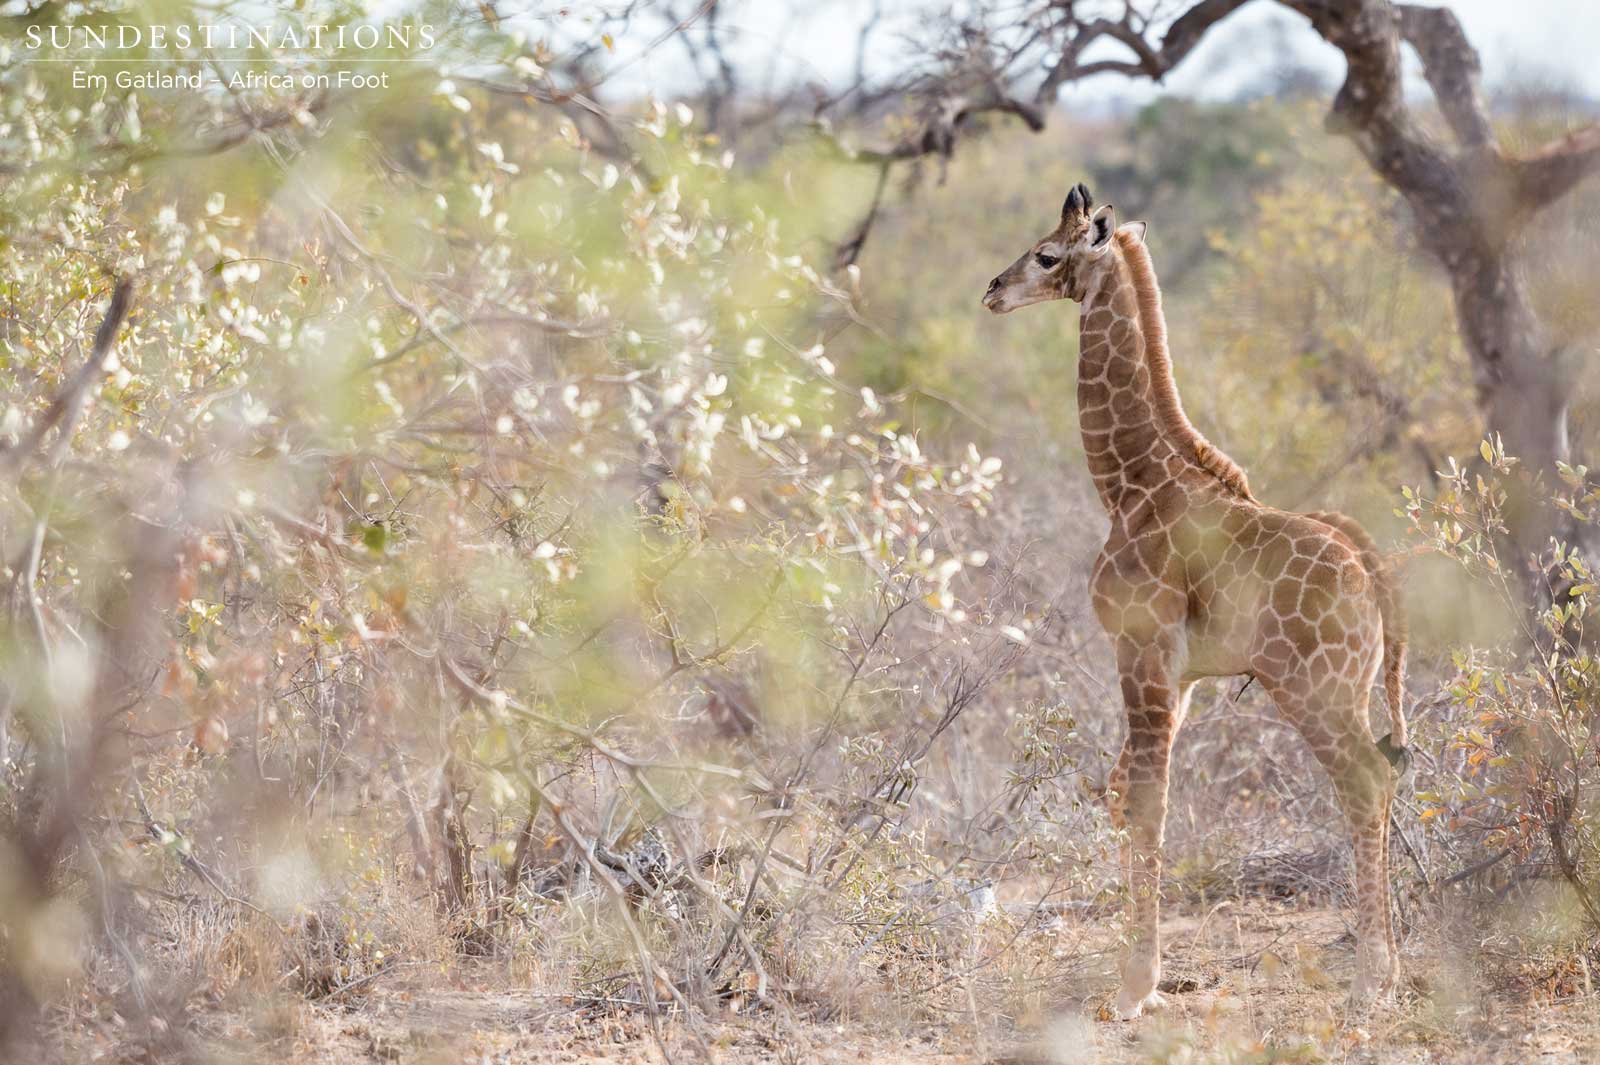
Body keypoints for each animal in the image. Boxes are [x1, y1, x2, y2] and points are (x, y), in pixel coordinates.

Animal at [982, 183, 1408, 1018]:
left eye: (1047, 254)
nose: (993, 290)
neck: (1130, 483)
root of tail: (1368, 565)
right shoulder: (1179, 676)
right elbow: (1120, 794)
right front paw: (1136, 975)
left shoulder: (1141, 648)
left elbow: (1149, 801)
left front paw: (1135, 986)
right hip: (1351, 686)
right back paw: (1386, 968)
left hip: (1314, 686)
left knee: (1366, 783)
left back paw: (1374, 977)